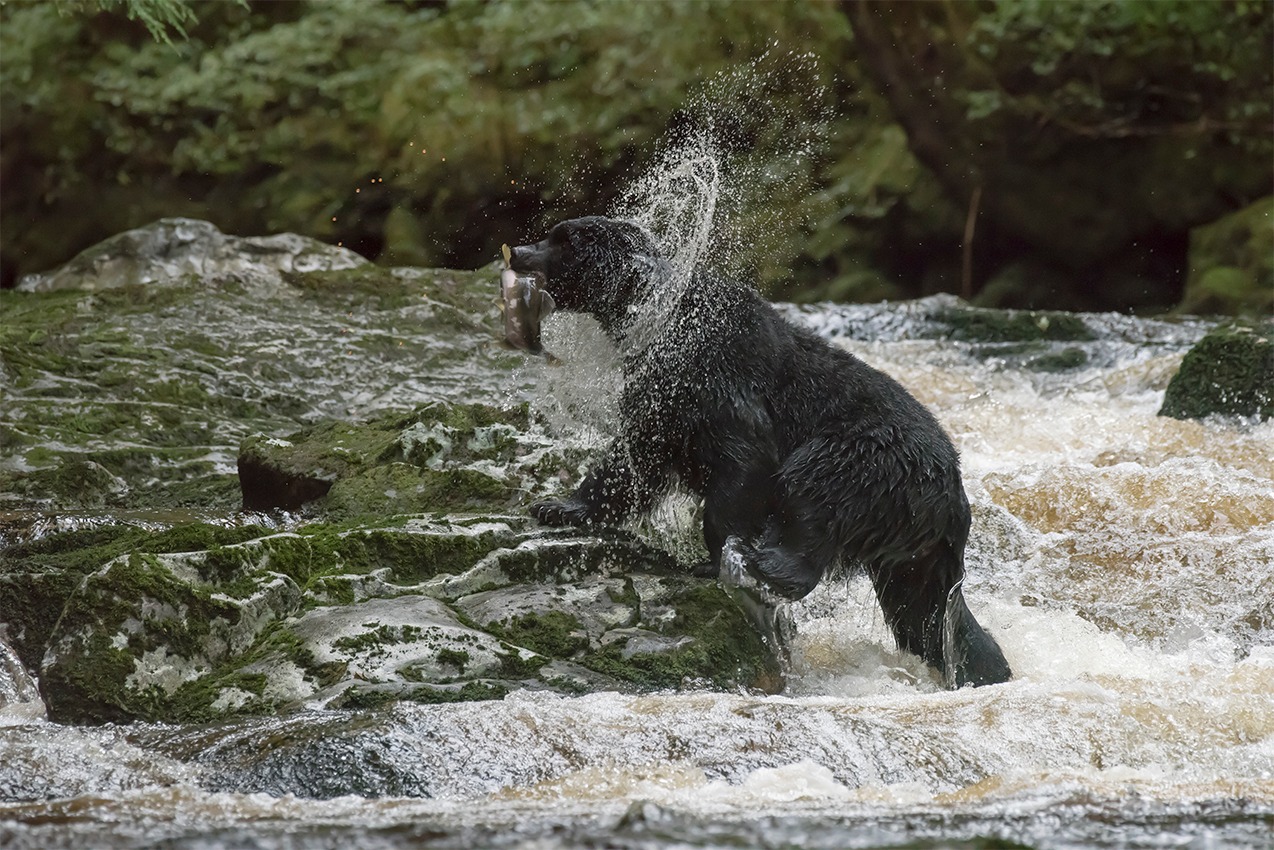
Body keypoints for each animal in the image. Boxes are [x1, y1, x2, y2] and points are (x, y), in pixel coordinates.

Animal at [509, 216, 1014, 688]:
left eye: (562, 241)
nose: (516, 251)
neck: (655, 323)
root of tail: (954, 495)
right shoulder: (662, 396)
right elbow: (634, 457)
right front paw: (558, 506)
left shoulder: (720, 381)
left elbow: (743, 463)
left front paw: (714, 556)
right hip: (914, 551)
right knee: (926, 617)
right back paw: (983, 666)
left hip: (867, 457)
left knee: (812, 493)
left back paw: (761, 564)